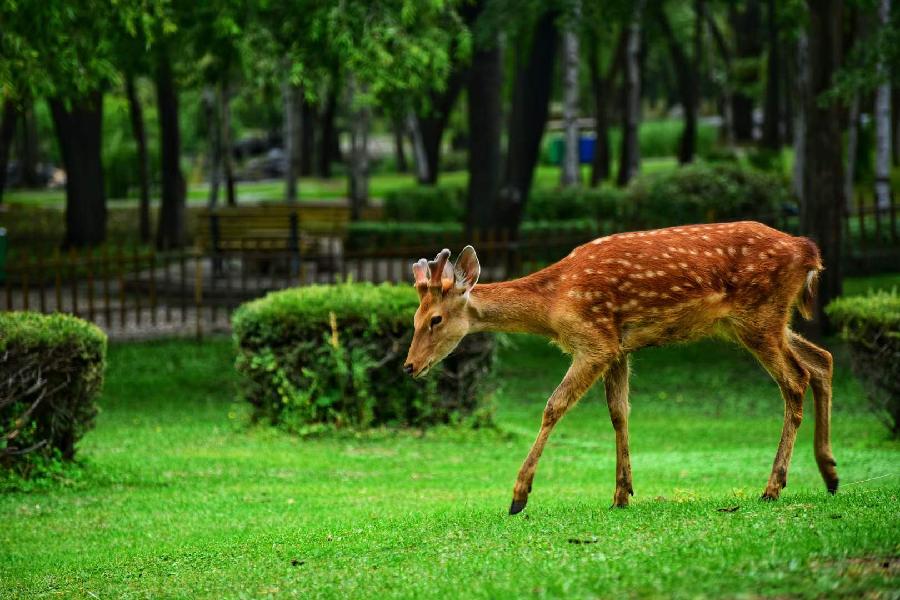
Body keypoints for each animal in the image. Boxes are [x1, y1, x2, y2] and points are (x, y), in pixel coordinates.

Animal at [404, 221, 839, 514]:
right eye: (414, 318)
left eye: (435, 319)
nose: (409, 366)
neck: (553, 305)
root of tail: (808, 252)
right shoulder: (619, 347)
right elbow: (619, 413)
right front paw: (622, 493)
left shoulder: (594, 341)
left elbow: (553, 406)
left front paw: (518, 496)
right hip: (758, 322)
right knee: (822, 360)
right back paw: (830, 473)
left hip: (758, 316)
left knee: (795, 379)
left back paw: (774, 486)